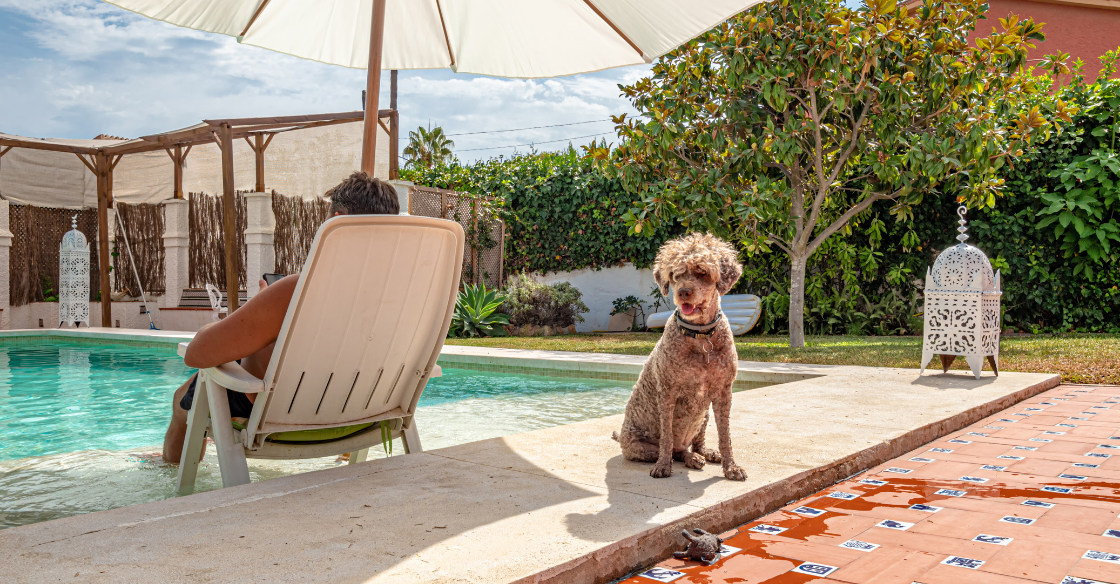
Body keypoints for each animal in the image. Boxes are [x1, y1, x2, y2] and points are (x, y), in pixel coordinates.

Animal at [613, 230, 743, 477]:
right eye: (675, 274)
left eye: (702, 272)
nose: (684, 292)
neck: (700, 337)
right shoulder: (667, 392)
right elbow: (666, 437)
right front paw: (663, 466)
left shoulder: (724, 392)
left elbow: (726, 436)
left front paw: (731, 466)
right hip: (639, 446)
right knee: (676, 450)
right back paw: (689, 458)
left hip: (704, 414)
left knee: (695, 443)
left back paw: (705, 454)